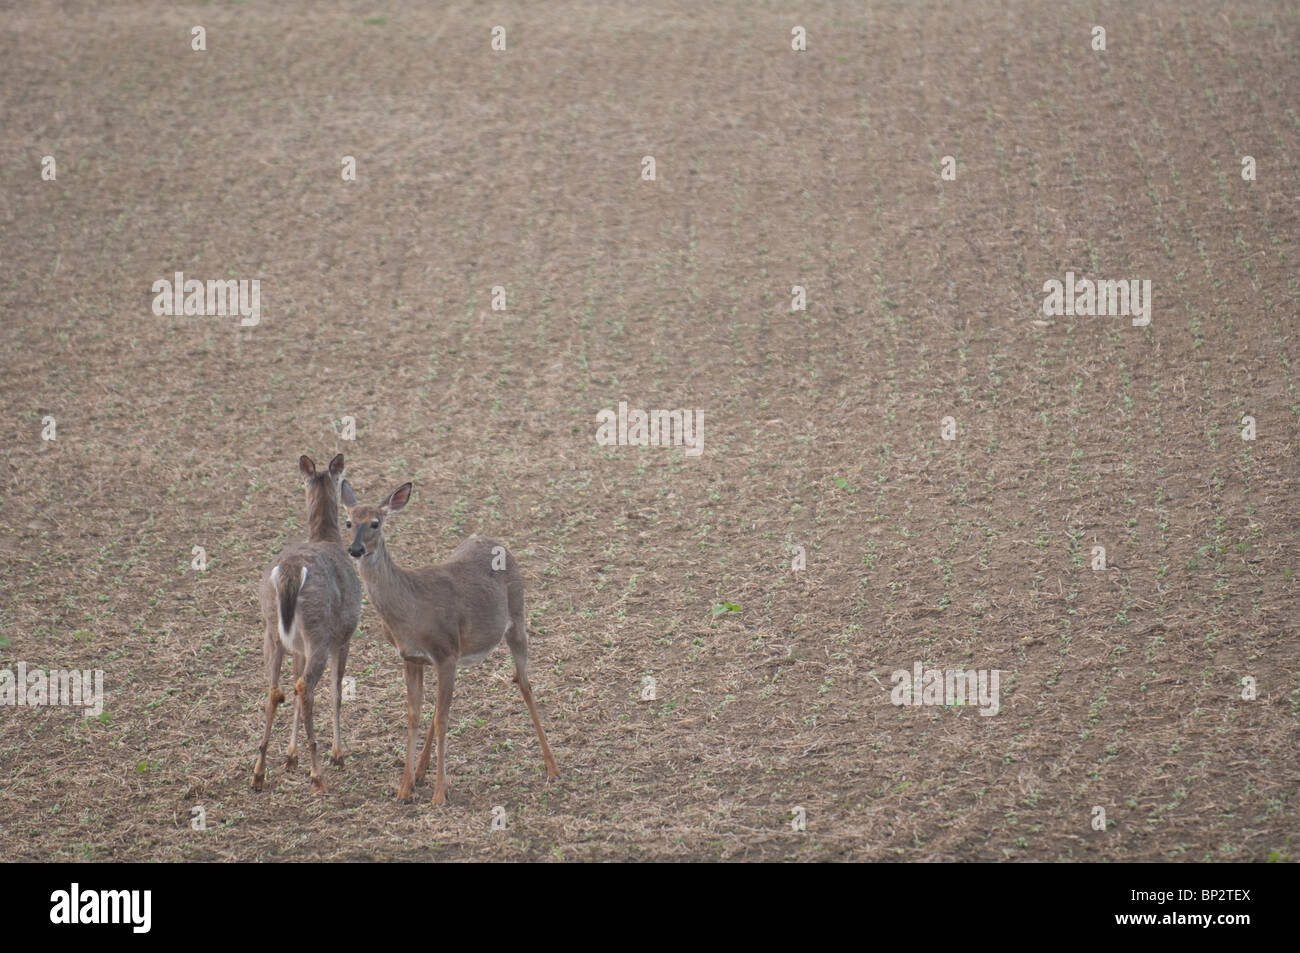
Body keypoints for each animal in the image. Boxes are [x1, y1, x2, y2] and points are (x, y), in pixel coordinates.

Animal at [252, 453, 362, 793]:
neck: (326, 538)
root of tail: (289, 572)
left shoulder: (297, 647)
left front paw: (290, 756)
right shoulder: (344, 636)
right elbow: (337, 690)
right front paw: (338, 754)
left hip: (272, 630)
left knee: (276, 689)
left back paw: (258, 772)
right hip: (319, 633)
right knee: (306, 687)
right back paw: (318, 774)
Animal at [339, 479, 559, 806]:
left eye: (376, 523)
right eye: (349, 521)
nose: (355, 549)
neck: (410, 611)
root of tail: (492, 539)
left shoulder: (445, 652)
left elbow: (442, 719)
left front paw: (439, 794)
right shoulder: (413, 657)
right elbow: (415, 716)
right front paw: (404, 789)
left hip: (517, 617)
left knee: (524, 683)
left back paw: (552, 769)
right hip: (462, 651)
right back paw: (420, 772)